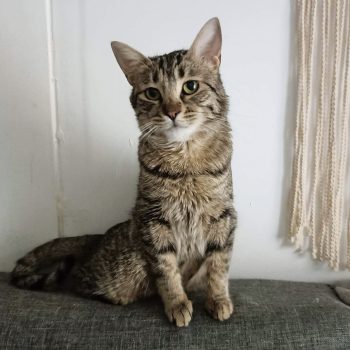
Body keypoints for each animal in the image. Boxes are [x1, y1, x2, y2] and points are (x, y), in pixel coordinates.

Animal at [10, 17, 237, 326]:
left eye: (190, 86)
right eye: (152, 93)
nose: (172, 111)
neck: (185, 159)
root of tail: (98, 238)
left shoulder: (223, 217)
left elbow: (218, 264)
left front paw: (218, 300)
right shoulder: (153, 221)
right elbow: (166, 270)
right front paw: (177, 304)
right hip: (124, 272)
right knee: (80, 278)